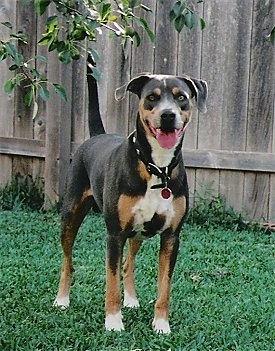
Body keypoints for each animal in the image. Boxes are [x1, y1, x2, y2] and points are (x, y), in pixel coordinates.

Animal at [54, 60, 208, 336]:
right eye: (151, 98)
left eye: (181, 97)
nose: (168, 115)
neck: (156, 167)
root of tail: (97, 135)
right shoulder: (115, 234)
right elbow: (111, 281)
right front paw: (113, 322)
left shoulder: (172, 237)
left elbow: (164, 287)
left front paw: (161, 324)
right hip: (71, 214)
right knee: (67, 260)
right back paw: (62, 300)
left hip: (139, 231)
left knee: (128, 263)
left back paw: (132, 300)